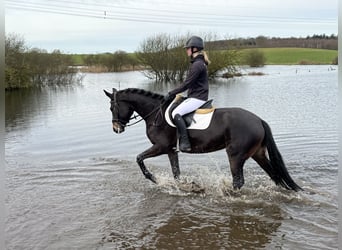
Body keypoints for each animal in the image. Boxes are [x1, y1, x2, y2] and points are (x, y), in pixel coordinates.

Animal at [104, 88, 302, 191]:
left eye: (112, 107)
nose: (116, 129)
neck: (155, 114)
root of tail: (258, 120)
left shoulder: (161, 146)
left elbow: (139, 159)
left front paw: (155, 179)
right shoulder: (170, 150)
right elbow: (176, 174)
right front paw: (188, 185)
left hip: (235, 155)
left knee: (239, 181)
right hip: (257, 154)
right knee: (275, 175)